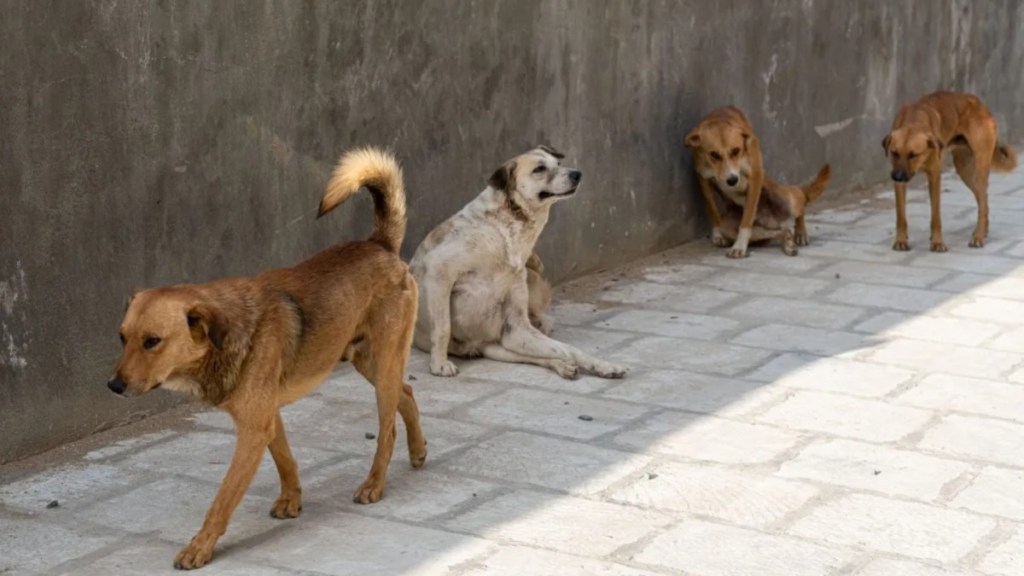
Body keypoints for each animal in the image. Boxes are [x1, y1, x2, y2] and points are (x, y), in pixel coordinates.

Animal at [104, 147, 423, 569]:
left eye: (152, 341)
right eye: (122, 337)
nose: (113, 386)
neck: (225, 338)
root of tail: (379, 245)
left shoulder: (253, 428)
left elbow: (223, 498)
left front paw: (200, 547)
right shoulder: (266, 417)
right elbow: (285, 458)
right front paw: (292, 500)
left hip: (382, 365)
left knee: (387, 428)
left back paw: (374, 483)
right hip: (366, 361)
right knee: (407, 393)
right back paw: (419, 451)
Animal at [407, 143, 622, 379]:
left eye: (558, 163)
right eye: (539, 169)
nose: (577, 174)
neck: (507, 229)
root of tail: (477, 345)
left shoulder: (517, 329)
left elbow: (569, 349)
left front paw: (602, 365)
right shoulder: (439, 271)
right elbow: (443, 327)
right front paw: (439, 365)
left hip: (506, 345)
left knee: (549, 354)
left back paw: (565, 365)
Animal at [684, 106, 827, 258]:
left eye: (736, 150)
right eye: (714, 154)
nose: (732, 180)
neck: (720, 117)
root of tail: (773, 221)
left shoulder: (755, 176)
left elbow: (747, 218)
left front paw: (740, 246)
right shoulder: (703, 178)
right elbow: (712, 209)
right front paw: (718, 234)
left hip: (787, 199)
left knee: (801, 202)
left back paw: (800, 233)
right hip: (736, 226)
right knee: (784, 231)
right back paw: (788, 244)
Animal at [880, 90, 1015, 250]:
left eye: (913, 155)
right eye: (894, 152)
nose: (897, 177)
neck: (915, 117)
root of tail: (981, 105)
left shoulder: (934, 176)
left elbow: (936, 216)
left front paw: (937, 242)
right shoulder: (899, 182)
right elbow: (901, 216)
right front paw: (901, 240)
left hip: (980, 167)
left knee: (982, 200)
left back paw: (978, 236)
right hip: (965, 170)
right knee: (984, 199)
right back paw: (983, 230)